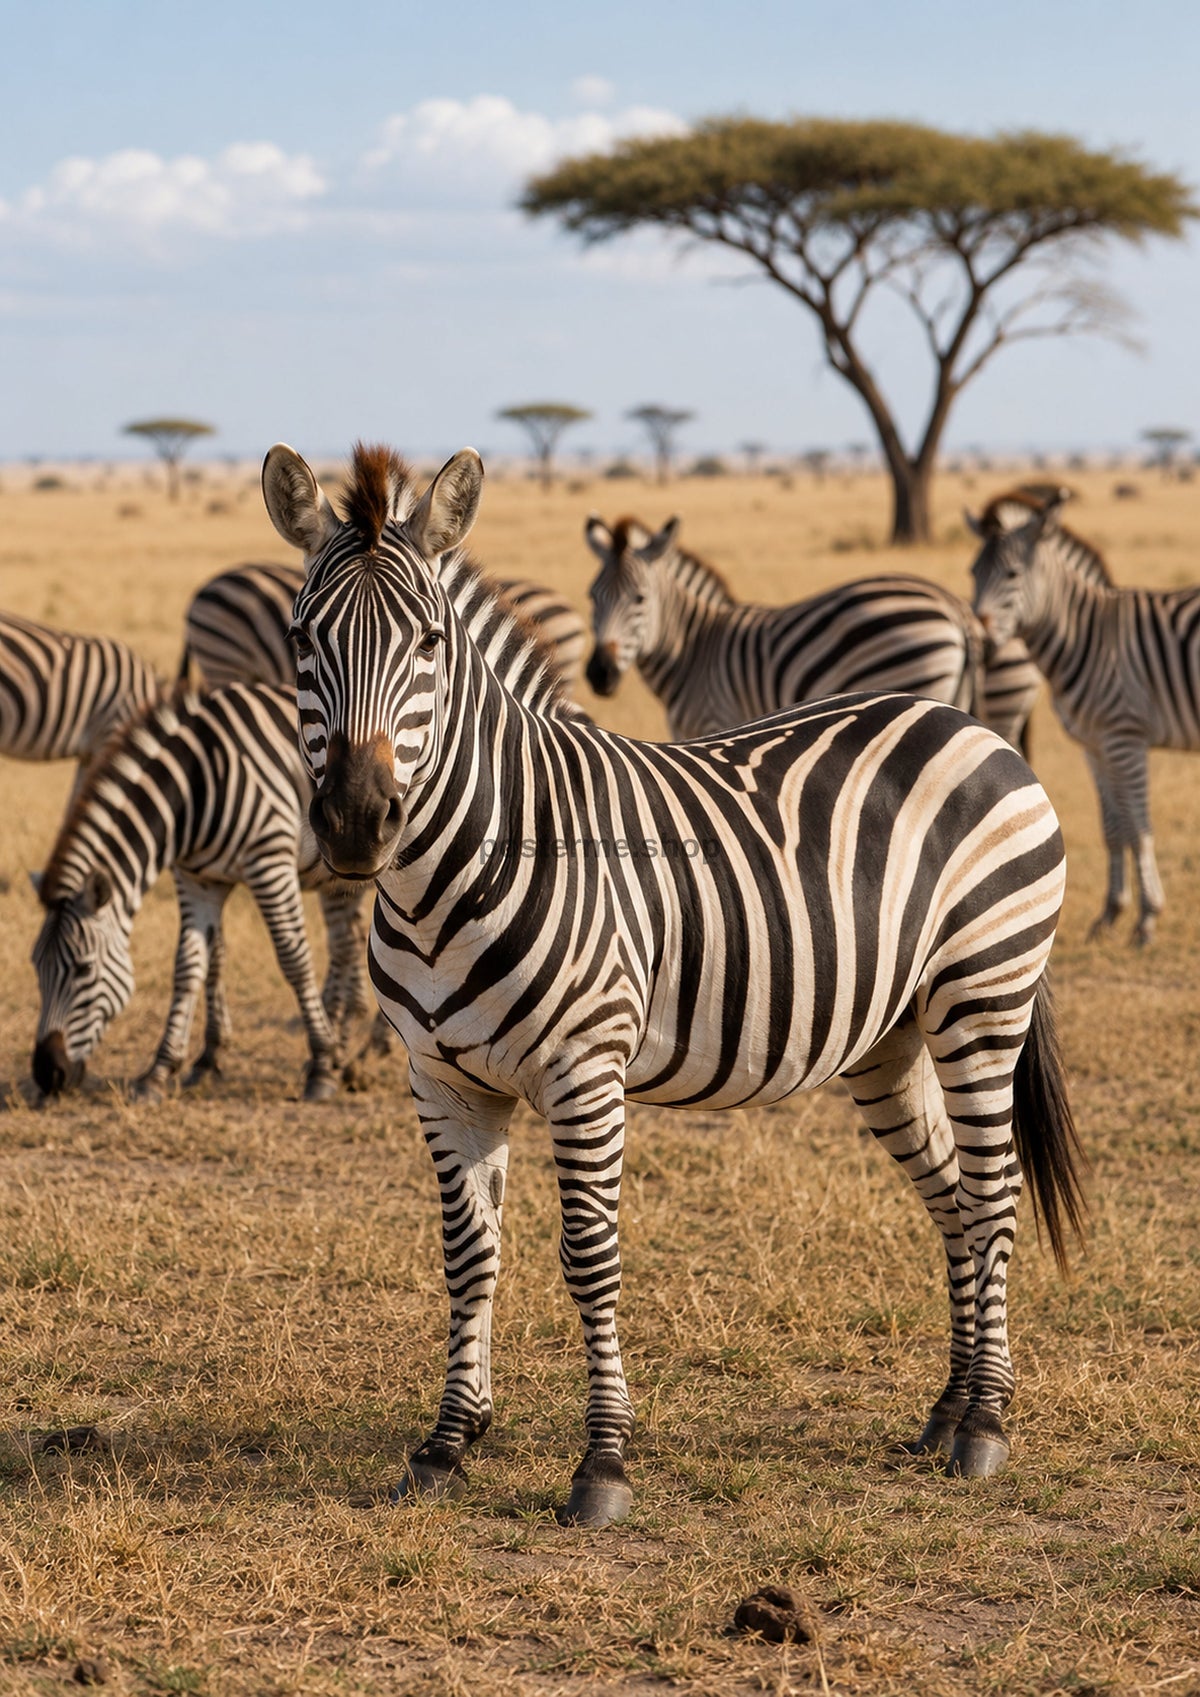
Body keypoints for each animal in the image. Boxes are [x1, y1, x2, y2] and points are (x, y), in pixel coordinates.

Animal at [31, 683, 363, 1103]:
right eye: (35, 967)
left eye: (83, 969)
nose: (46, 1074)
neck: (194, 788)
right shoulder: (197, 880)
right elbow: (189, 965)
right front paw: (161, 1070)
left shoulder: (269, 861)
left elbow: (295, 960)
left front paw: (320, 1065)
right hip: (341, 879)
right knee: (348, 944)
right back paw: (348, 1053)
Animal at [583, 513, 1042, 751]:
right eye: (592, 597)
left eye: (640, 599)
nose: (599, 674)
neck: (694, 649)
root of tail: (953, 606)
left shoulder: (712, 719)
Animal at [969, 486, 1198, 946]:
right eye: (972, 573)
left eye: (1012, 574)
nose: (980, 644)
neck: (1086, 637)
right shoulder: (1095, 745)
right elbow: (1113, 829)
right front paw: (1110, 914)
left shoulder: (1124, 737)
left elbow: (1139, 828)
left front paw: (1147, 918)